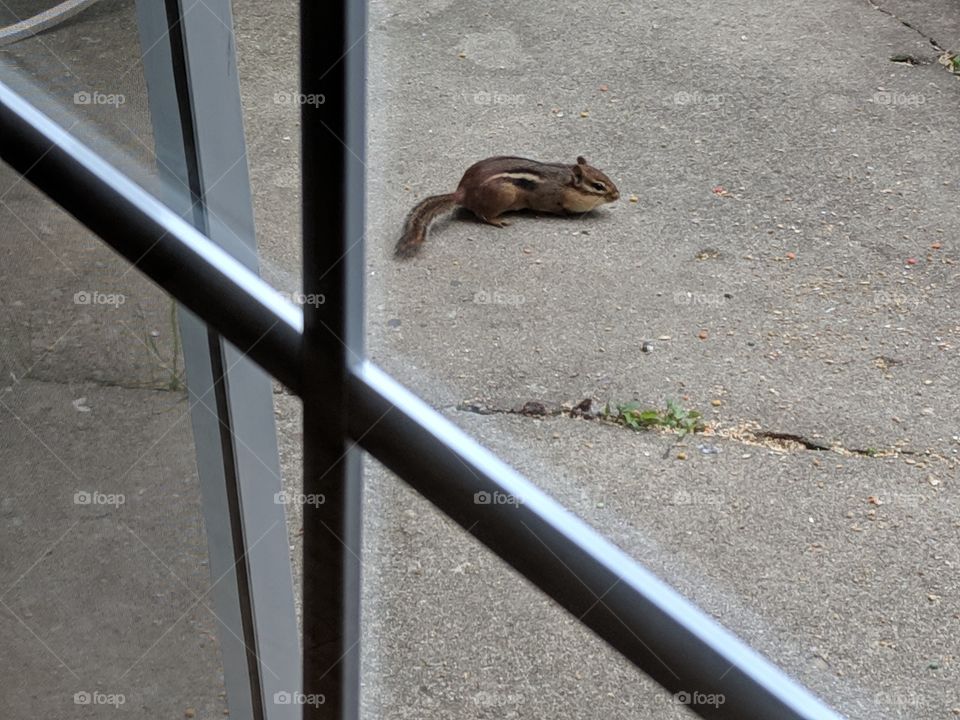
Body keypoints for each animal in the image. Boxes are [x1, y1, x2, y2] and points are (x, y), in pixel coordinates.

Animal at [394, 155, 620, 258]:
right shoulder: (547, 198)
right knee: (483, 215)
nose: (617, 195)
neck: (566, 184)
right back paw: (498, 220)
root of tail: (463, 192)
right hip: (504, 194)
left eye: (605, 177)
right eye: (598, 186)